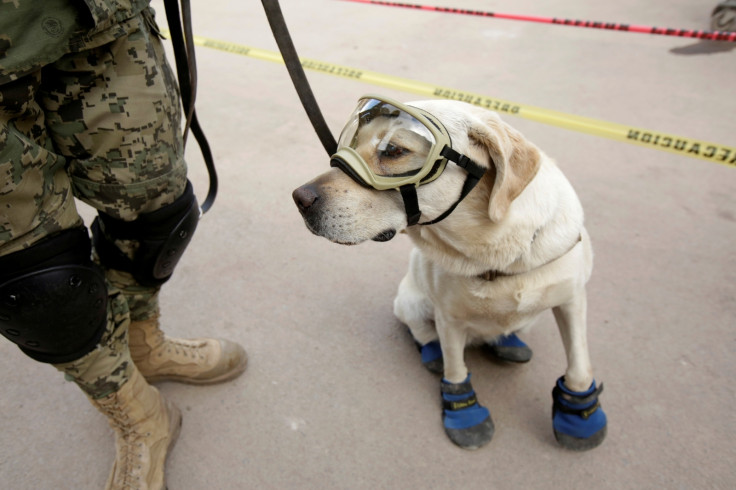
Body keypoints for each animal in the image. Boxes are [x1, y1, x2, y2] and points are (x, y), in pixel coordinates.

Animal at [290, 95, 608, 452]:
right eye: (352, 143)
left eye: (393, 150)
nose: (299, 198)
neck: (498, 257)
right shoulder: (450, 318)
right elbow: (455, 369)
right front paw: (465, 414)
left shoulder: (573, 300)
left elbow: (579, 364)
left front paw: (579, 414)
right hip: (410, 302)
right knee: (421, 332)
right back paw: (433, 353)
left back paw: (509, 343)